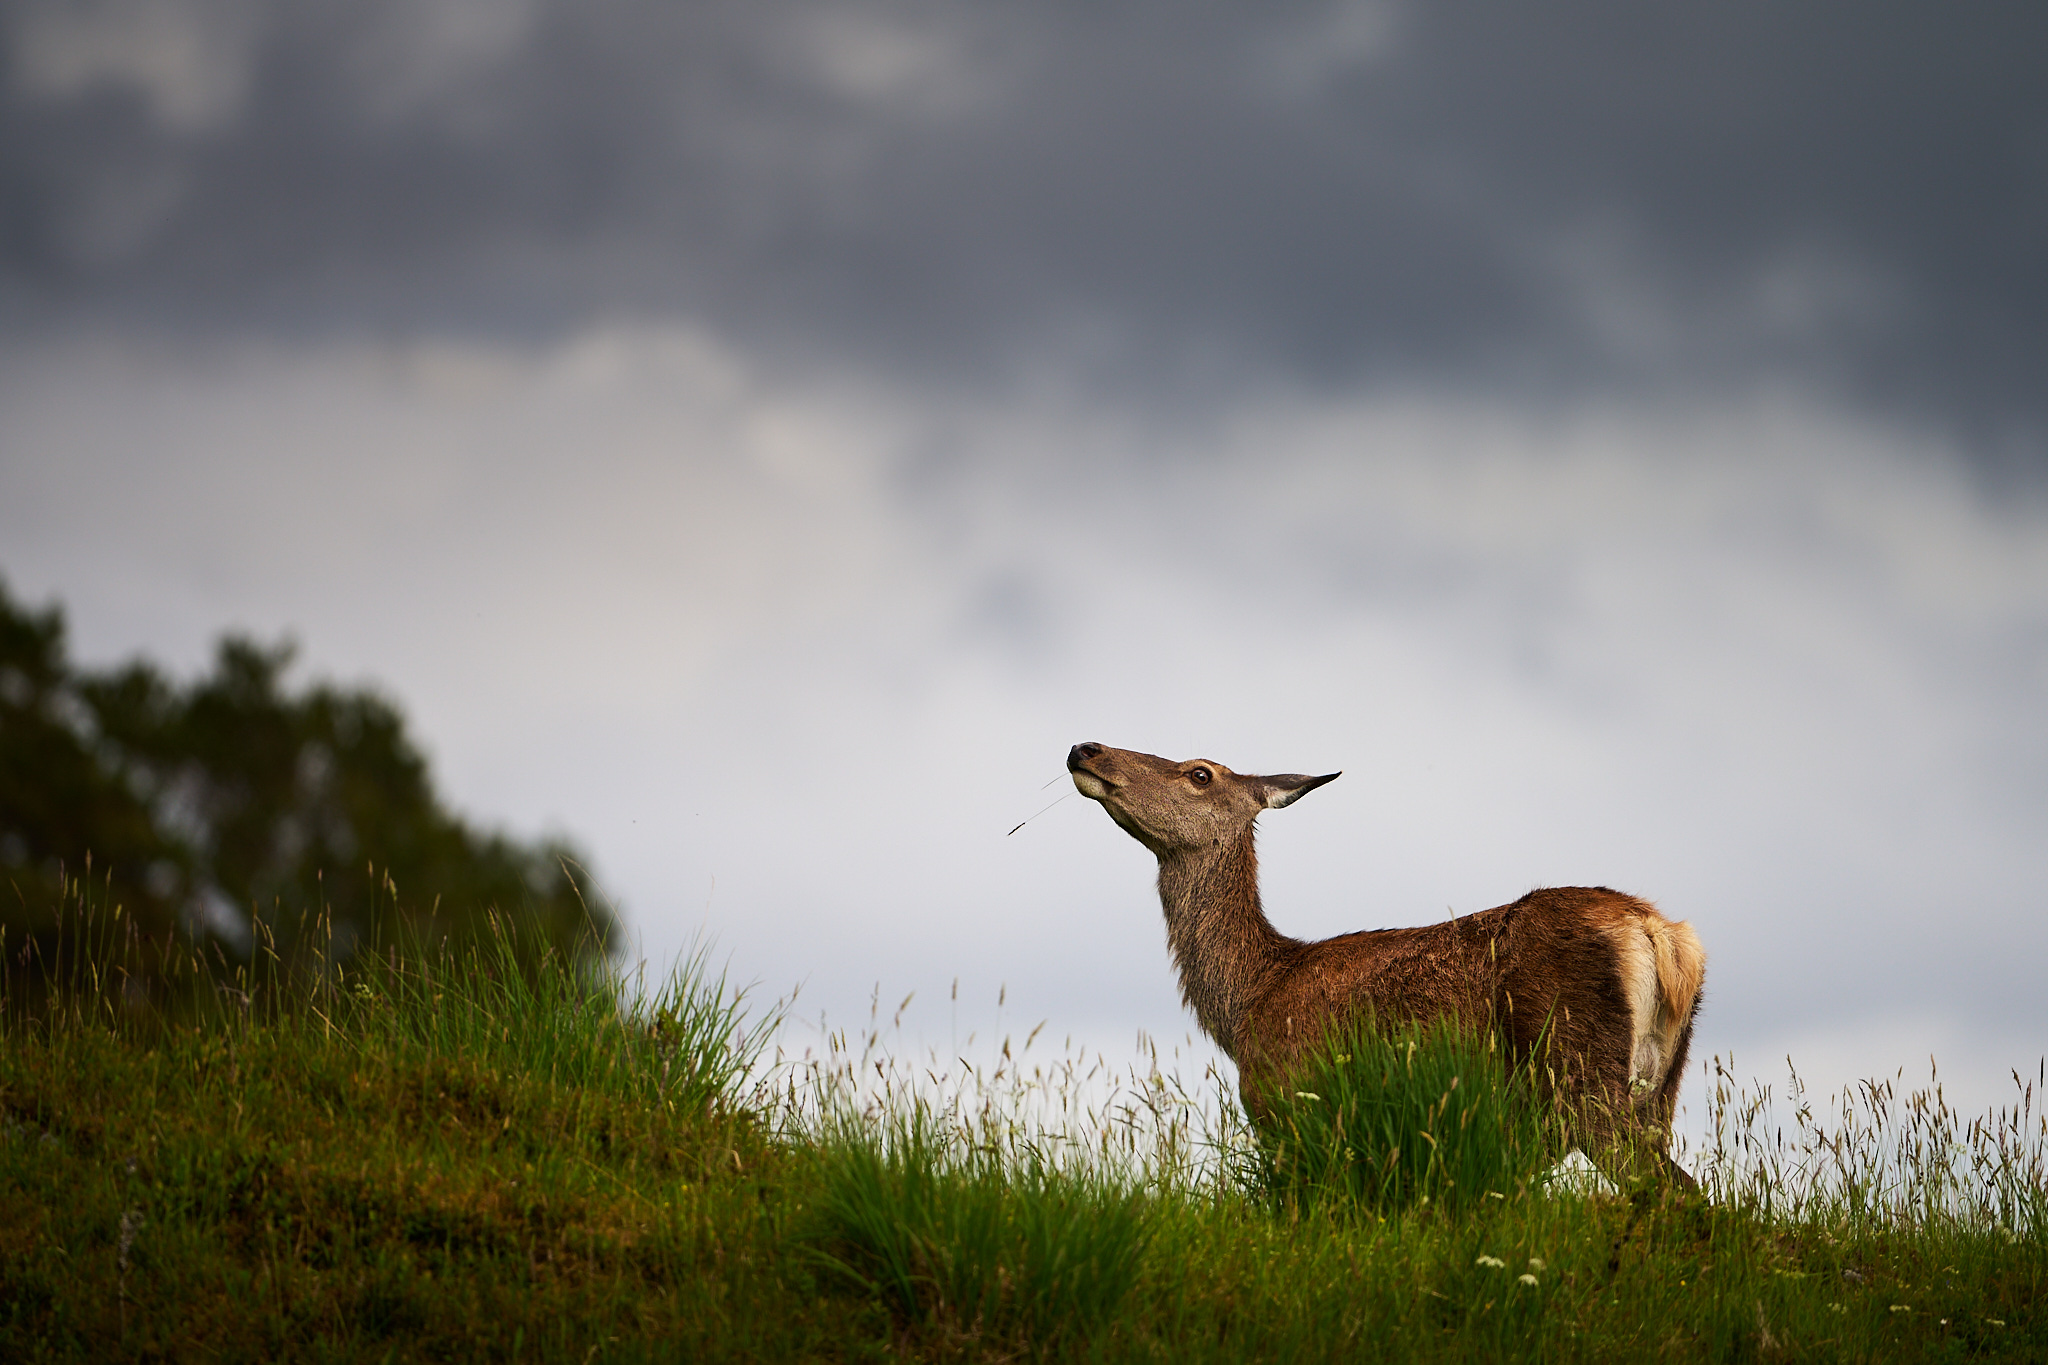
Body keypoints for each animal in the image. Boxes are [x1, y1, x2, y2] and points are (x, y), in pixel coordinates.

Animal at [1066, 741, 1707, 1188]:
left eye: (1200, 772)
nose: (1085, 747)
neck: (1251, 998)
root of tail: (1661, 935)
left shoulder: (1288, 1108)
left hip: (1580, 1071)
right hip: (1658, 1090)